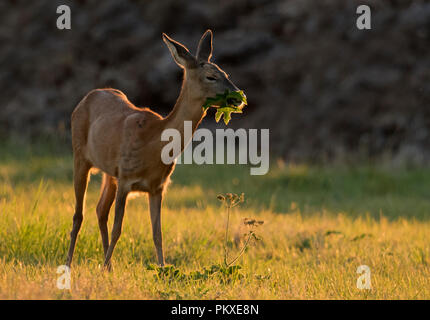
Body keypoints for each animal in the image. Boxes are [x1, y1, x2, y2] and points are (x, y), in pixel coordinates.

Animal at [66, 30, 242, 270]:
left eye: (226, 73)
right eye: (211, 77)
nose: (238, 97)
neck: (153, 143)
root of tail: (86, 97)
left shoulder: (157, 186)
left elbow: (157, 234)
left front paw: (162, 270)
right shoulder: (126, 179)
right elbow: (118, 229)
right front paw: (104, 269)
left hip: (110, 173)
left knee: (100, 210)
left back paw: (108, 266)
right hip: (80, 156)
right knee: (79, 214)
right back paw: (69, 264)